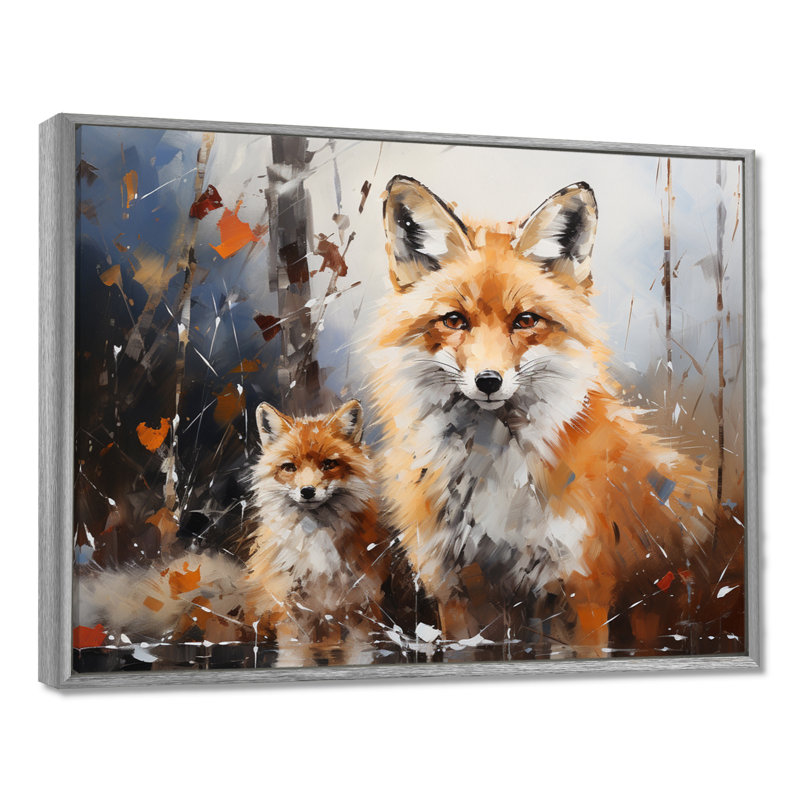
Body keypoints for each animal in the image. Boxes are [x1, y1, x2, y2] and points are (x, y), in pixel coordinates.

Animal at [368, 175, 719, 657]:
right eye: (454, 320)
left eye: (525, 320)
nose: (489, 381)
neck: (492, 472)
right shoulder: (456, 591)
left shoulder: (581, 588)